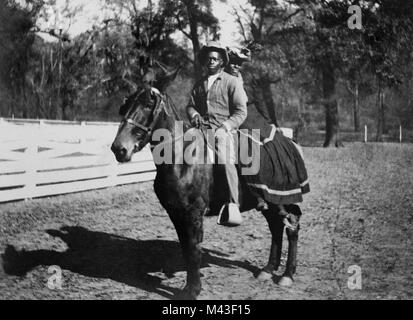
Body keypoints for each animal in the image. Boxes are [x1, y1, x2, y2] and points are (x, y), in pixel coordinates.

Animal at [111, 81, 300, 298]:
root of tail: (288, 142)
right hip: (270, 203)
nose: (119, 149)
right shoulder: (176, 213)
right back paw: (267, 270)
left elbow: (194, 250)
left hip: (284, 200)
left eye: (148, 105)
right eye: (126, 105)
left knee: (292, 227)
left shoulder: (193, 213)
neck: (182, 160)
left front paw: (193, 290)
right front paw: (190, 287)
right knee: (276, 227)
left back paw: (287, 276)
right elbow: (186, 249)